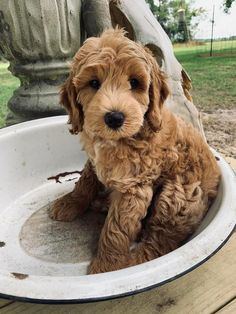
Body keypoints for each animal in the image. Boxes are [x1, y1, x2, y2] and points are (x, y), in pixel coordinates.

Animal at [48, 29, 220, 274]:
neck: (118, 140)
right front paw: (70, 203)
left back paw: (133, 261)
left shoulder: (134, 185)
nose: (114, 118)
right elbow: (86, 181)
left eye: (135, 82)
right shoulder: (94, 160)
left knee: (159, 243)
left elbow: (116, 228)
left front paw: (107, 266)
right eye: (94, 82)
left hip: (177, 196)